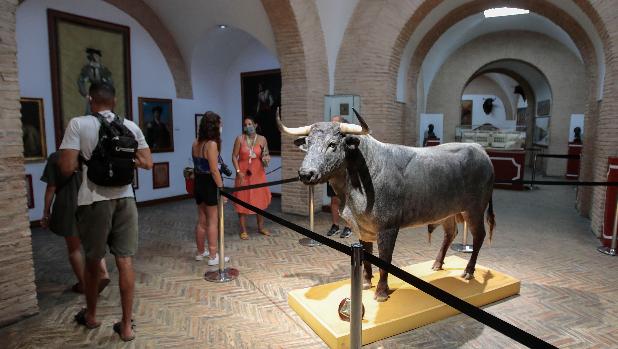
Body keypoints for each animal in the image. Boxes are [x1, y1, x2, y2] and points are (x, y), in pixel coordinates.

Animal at [276, 110, 494, 300]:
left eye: (332, 144)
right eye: (308, 143)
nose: (306, 173)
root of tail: (479, 149)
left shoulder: (388, 228)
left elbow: (384, 259)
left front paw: (381, 292)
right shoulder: (364, 227)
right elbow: (367, 255)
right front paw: (365, 282)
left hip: (475, 209)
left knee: (479, 236)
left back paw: (468, 271)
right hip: (447, 211)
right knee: (451, 233)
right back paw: (437, 264)